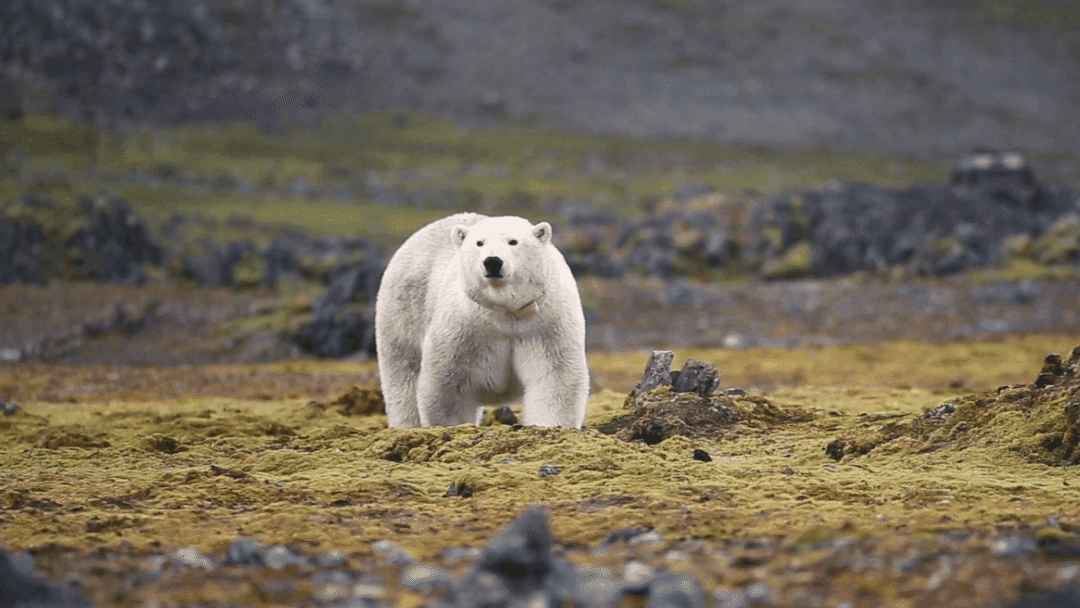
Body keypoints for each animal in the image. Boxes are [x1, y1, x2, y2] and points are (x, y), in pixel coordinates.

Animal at [374, 213, 589, 429]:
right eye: (479, 243)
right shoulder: (464, 329)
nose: (492, 261)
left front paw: (549, 424)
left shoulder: (544, 324)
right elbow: (447, 383)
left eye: (513, 241)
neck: (505, 312)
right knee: (403, 373)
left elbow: (555, 377)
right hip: (403, 312)